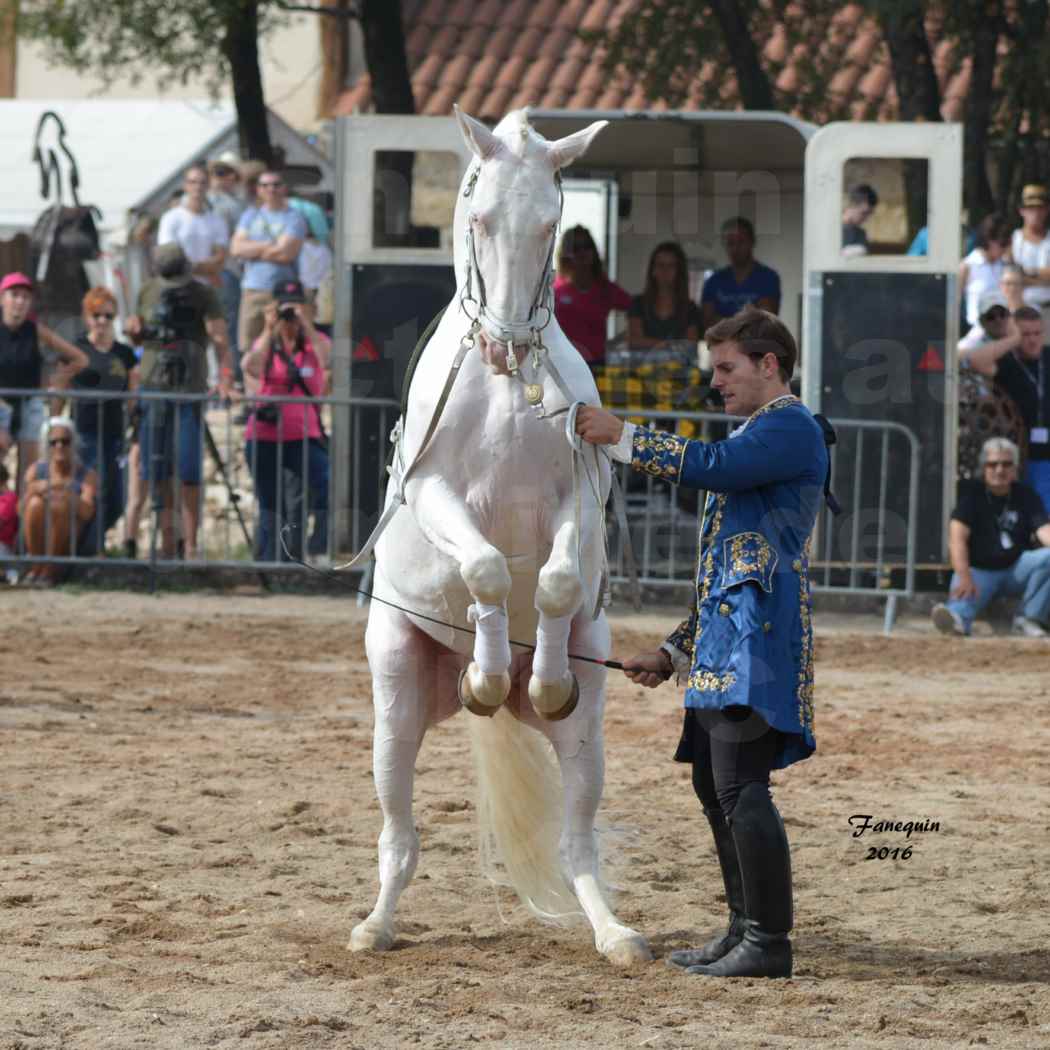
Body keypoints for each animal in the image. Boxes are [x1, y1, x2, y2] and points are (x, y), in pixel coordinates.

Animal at [348, 108, 651, 965]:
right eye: (479, 218)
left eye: (550, 225)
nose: (504, 347)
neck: (506, 389)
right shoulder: (437, 496)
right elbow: (485, 568)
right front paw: (484, 674)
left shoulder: (575, 503)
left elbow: (552, 582)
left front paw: (542, 678)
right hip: (396, 707)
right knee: (400, 835)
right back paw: (376, 924)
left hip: (587, 739)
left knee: (578, 844)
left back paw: (615, 934)